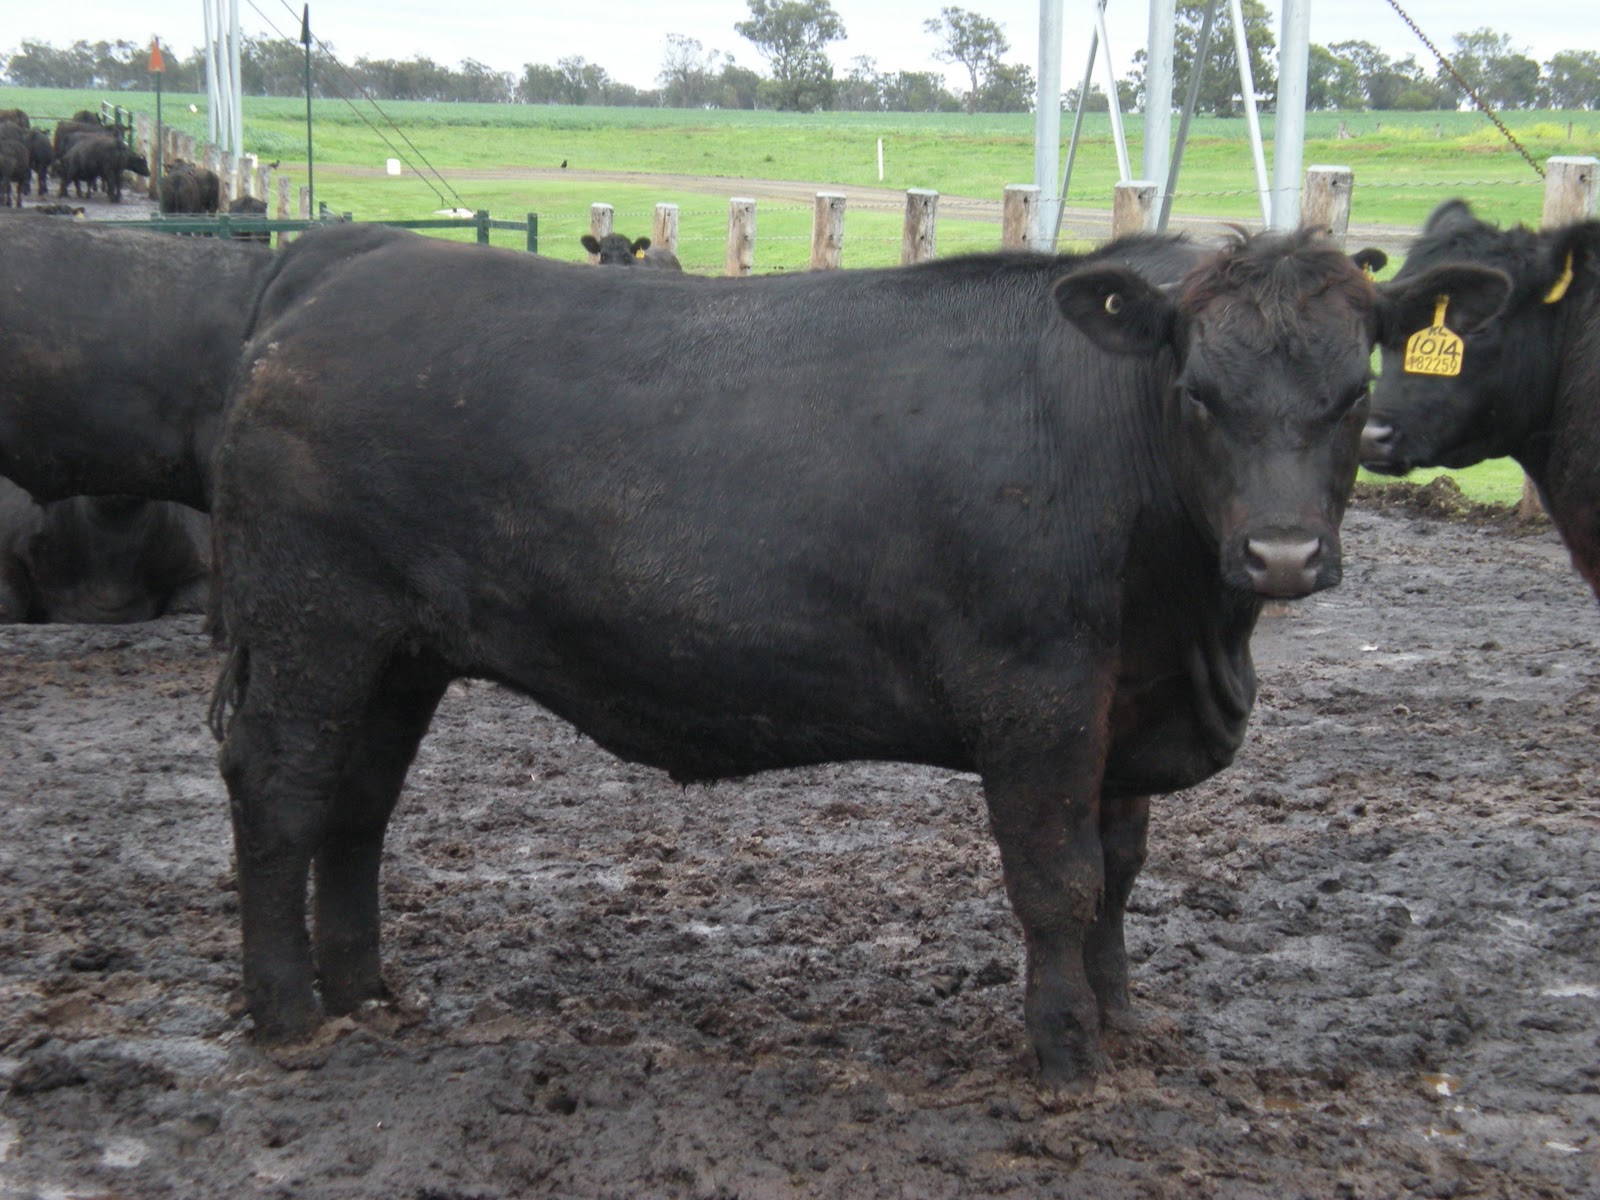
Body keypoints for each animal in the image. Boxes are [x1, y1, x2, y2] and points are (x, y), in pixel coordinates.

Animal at [205, 222, 1454, 1089]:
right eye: (1196, 394)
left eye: (1353, 395)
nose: (1281, 553)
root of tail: (350, 258)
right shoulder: (1036, 695)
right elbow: (1056, 881)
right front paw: (1064, 1055)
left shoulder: (1122, 707)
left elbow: (1117, 877)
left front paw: (1121, 1019)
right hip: (314, 624)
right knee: (284, 790)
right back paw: (289, 1014)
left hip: (400, 651)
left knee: (358, 805)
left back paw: (366, 991)